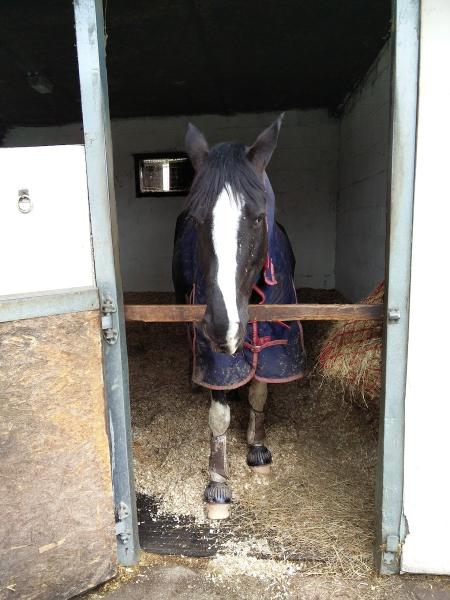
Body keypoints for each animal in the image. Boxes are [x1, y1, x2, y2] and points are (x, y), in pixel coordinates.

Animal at [172, 115, 306, 516]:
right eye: (197, 220)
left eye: (259, 218)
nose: (221, 326)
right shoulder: (216, 356)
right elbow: (219, 413)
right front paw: (218, 484)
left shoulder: (274, 341)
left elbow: (260, 393)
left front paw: (257, 449)